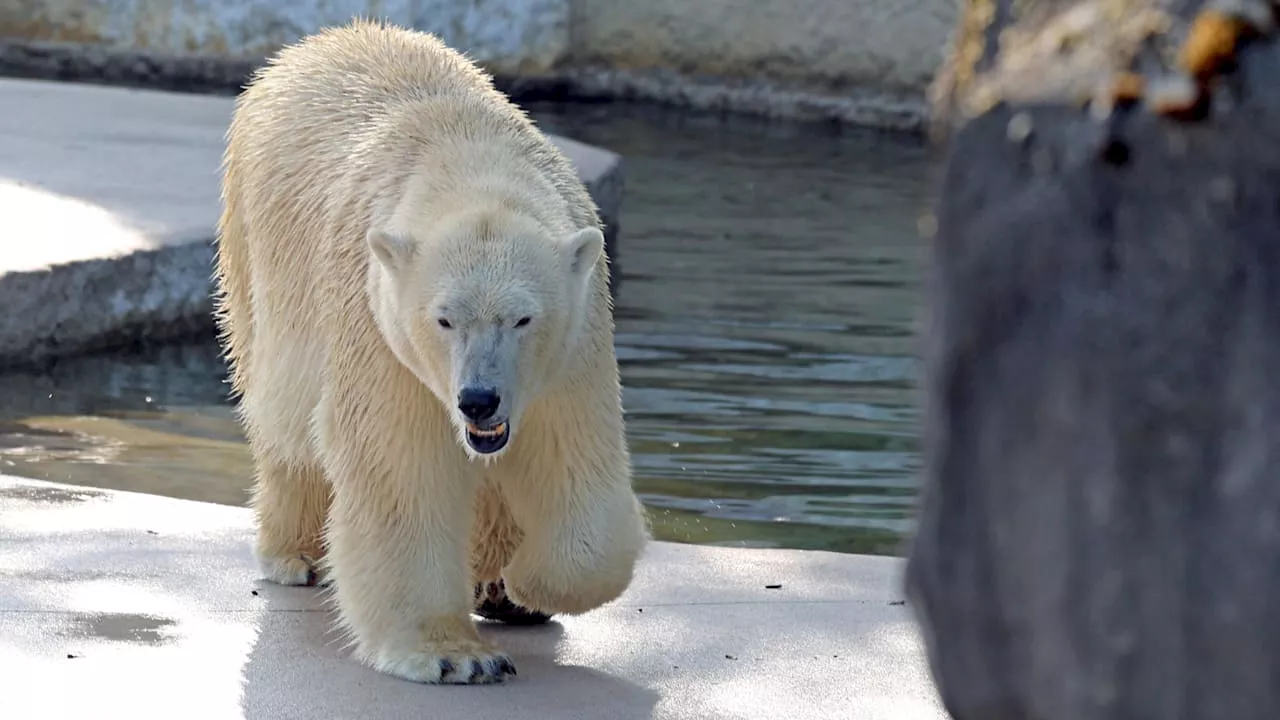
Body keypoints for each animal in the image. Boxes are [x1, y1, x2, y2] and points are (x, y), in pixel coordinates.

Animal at [215, 19, 650, 681]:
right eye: (443, 319)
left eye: (523, 318)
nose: (478, 399)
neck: (469, 153)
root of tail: (320, 41)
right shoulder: (378, 321)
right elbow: (399, 462)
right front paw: (453, 656)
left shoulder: (576, 340)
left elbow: (573, 456)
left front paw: (525, 584)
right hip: (254, 245)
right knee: (285, 420)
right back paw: (297, 554)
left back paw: (496, 587)